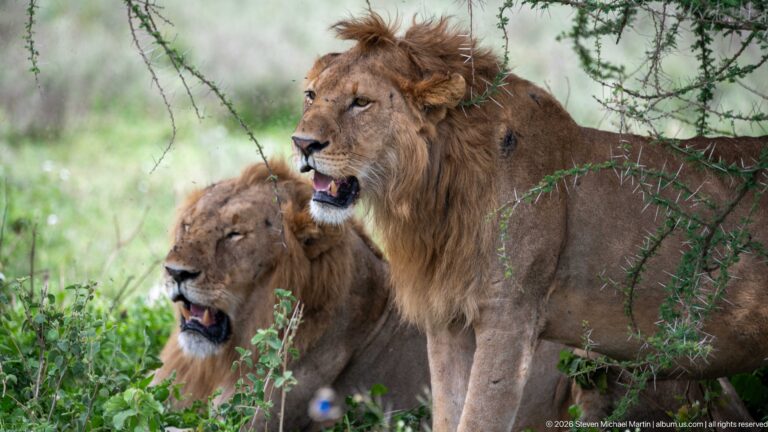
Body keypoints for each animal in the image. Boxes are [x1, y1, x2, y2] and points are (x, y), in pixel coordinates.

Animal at [291, 13, 768, 431]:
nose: (301, 143)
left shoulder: (510, 317)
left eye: (361, 102)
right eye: (311, 95)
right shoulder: (448, 321)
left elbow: (479, 419)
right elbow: (449, 415)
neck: (435, 191)